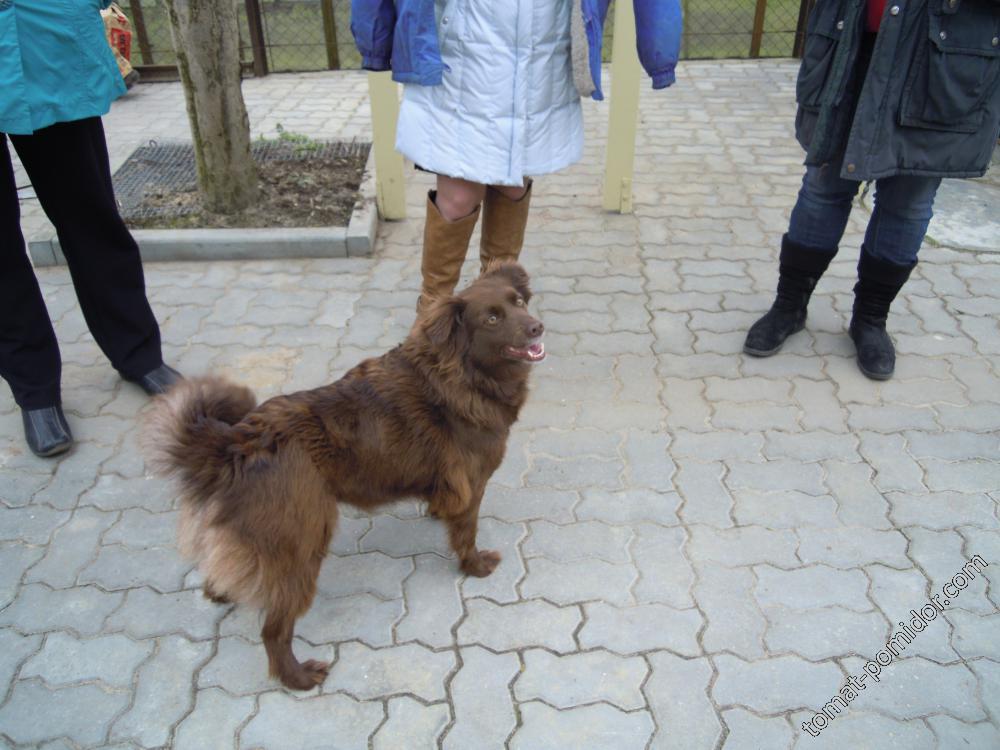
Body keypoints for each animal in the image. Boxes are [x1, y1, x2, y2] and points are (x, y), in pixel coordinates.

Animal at [144, 263, 544, 690]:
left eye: (518, 303)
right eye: (491, 319)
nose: (537, 327)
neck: (460, 375)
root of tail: (238, 443)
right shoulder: (473, 483)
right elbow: (466, 533)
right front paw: (476, 566)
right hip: (301, 542)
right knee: (274, 630)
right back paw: (298, 676)